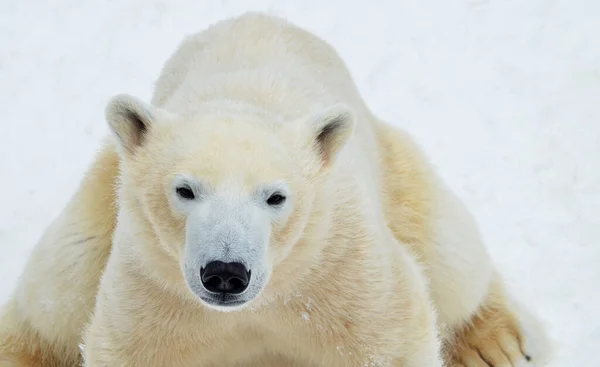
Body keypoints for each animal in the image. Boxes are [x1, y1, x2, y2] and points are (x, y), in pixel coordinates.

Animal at [1, 11, 552, 367]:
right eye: (185, 190)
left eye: (275, 197)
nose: (226, 273)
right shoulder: (153, 286)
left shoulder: (340, 268)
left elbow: (393, 334)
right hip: (101, 194)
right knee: (61, 279)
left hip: (400, 170)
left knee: (452, 257)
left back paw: (497, 346)